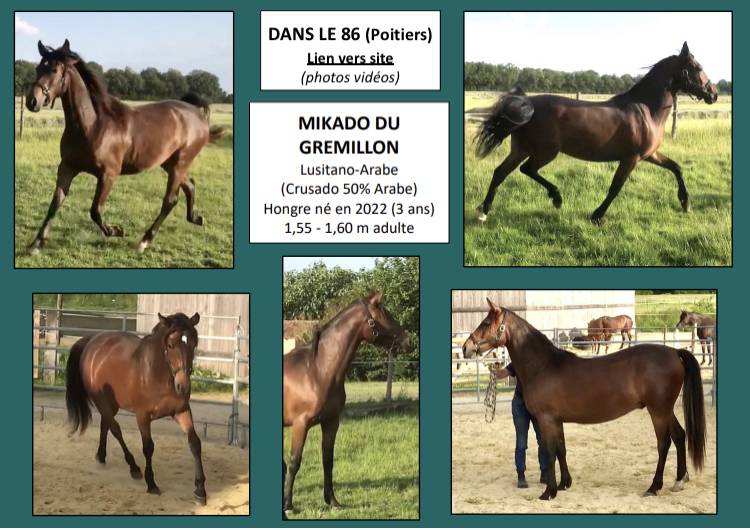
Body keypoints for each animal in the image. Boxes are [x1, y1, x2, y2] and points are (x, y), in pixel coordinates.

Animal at [25, 40, 224, 254]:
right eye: (38, 68)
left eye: (54, 70)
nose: (32, 101)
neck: (93, 125)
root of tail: (198, 114)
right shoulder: (67, 168)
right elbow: (55, 204)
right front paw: (36, 244)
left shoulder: (108, 174)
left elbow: (95, 210)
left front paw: (116, 231)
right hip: (170, 164)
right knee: (190, 186)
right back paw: (196, 218)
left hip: (180, 163)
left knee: (170, 200)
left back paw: (144, 241)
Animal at [65, 312, 208, 504]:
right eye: (170, 345)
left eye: (194, 343)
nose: (183, 386)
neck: (156, 374)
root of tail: (92, 340)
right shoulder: (143, 417)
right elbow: (148, 447)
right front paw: (152, 484)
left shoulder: (181, 411)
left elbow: (194, 443)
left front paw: (200, 490)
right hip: (101, 401)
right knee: (115, 429)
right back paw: (133, 468)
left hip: (111, 404)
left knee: (105, 425)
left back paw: (101, 456)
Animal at [283, 291, 411, 514]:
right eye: (385, 315)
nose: (408, 341)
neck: (317, 371)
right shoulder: (300, 425)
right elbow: (294, 462)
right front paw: (288, 505)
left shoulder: (331, 422)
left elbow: (328, 461)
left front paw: (333, 501)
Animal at [462, 298, 705, 500]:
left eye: (485, 323)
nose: (466, 347)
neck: (543, 366)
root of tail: (674, 352)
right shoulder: (556, 420)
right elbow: (561, 449)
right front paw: (564, 484)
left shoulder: (546, 419)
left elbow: (549, 452)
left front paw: (548, 492)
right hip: (665, 410)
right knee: (679, 435)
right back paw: (679, 481)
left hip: (658, 411)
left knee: (664, 444)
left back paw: (654, 487)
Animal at [474, 42, 718, 225]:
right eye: (698, 67)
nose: (713, 94)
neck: (647, 110)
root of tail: (528, 104)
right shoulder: (631, 158)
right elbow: (615, 188)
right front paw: (597, 216)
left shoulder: (650, 155)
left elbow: (676, 168)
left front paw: (686, 203)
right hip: (545, 152)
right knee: (526, 169)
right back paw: (556, 198)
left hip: (522, 149)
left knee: (501, 172)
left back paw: (484, 211)